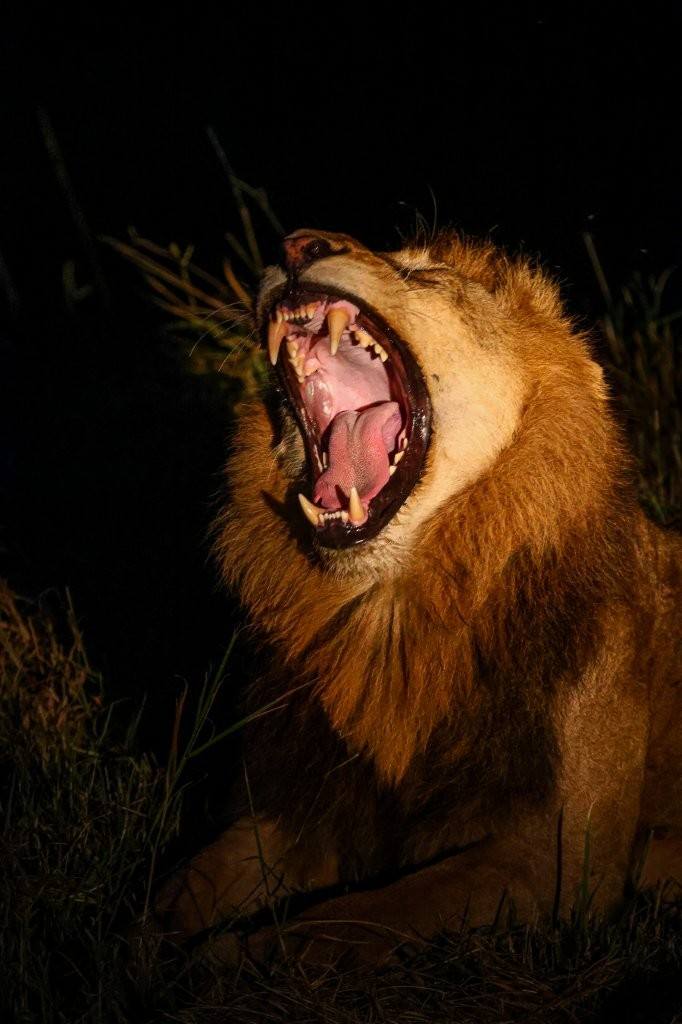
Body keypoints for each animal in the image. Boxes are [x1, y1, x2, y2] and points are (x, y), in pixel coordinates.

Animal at [156, 228, 682, 965]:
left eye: (424, 275)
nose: (297, 243)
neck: (387, 614)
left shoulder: (555, 863)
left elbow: (349, 919)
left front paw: (222, 963)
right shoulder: (299, 802)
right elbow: (183, 887)